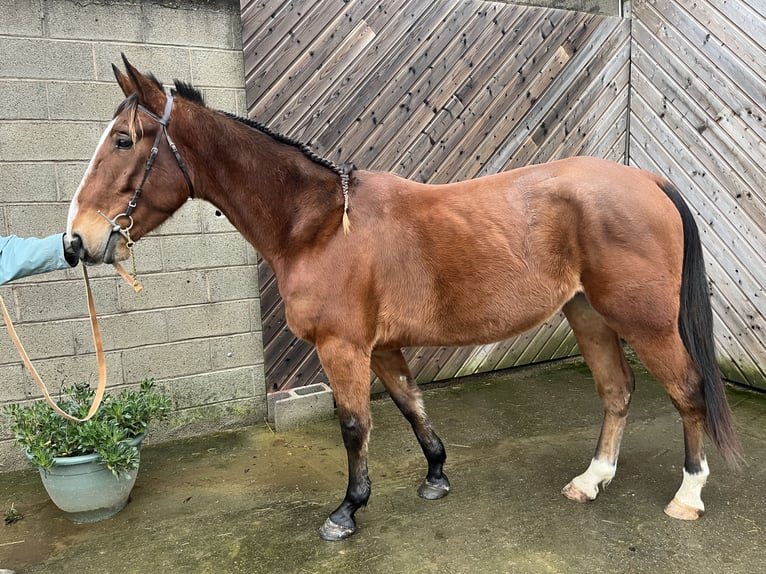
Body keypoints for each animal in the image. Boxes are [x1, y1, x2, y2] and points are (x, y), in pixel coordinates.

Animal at [67, 56, 744, 544]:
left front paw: (346, 511)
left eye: (123, 140)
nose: (78, 241)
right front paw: (436, 477)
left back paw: (687, 495)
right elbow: (411, 407)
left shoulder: (343, 348)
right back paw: (592, 479)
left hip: (645, 322)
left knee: (686, 391)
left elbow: (354, 425)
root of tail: (648, 179)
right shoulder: (382, 347)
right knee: (616, 391)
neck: (318, 225)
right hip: (589, 314)